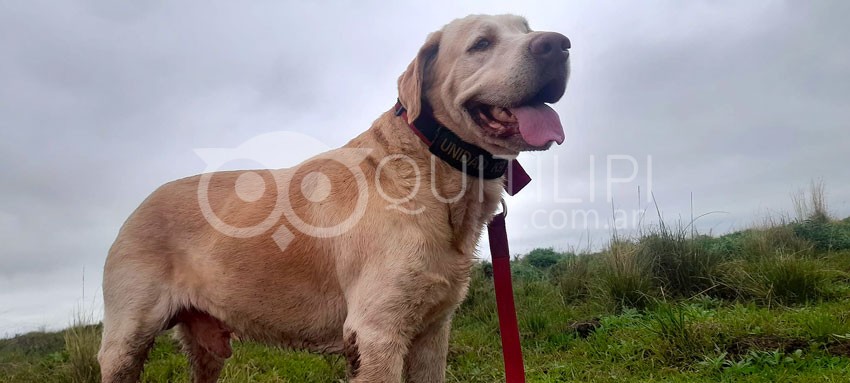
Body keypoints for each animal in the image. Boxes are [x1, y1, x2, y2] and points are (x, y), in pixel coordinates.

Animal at [97, 13, 568, 383]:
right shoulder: (376, 333)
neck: (432, 169)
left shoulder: (433, 332)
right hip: (126, 339)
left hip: (206, 344)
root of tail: (137, 207)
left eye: (525, 29)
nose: (558, 45)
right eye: (481, 43)